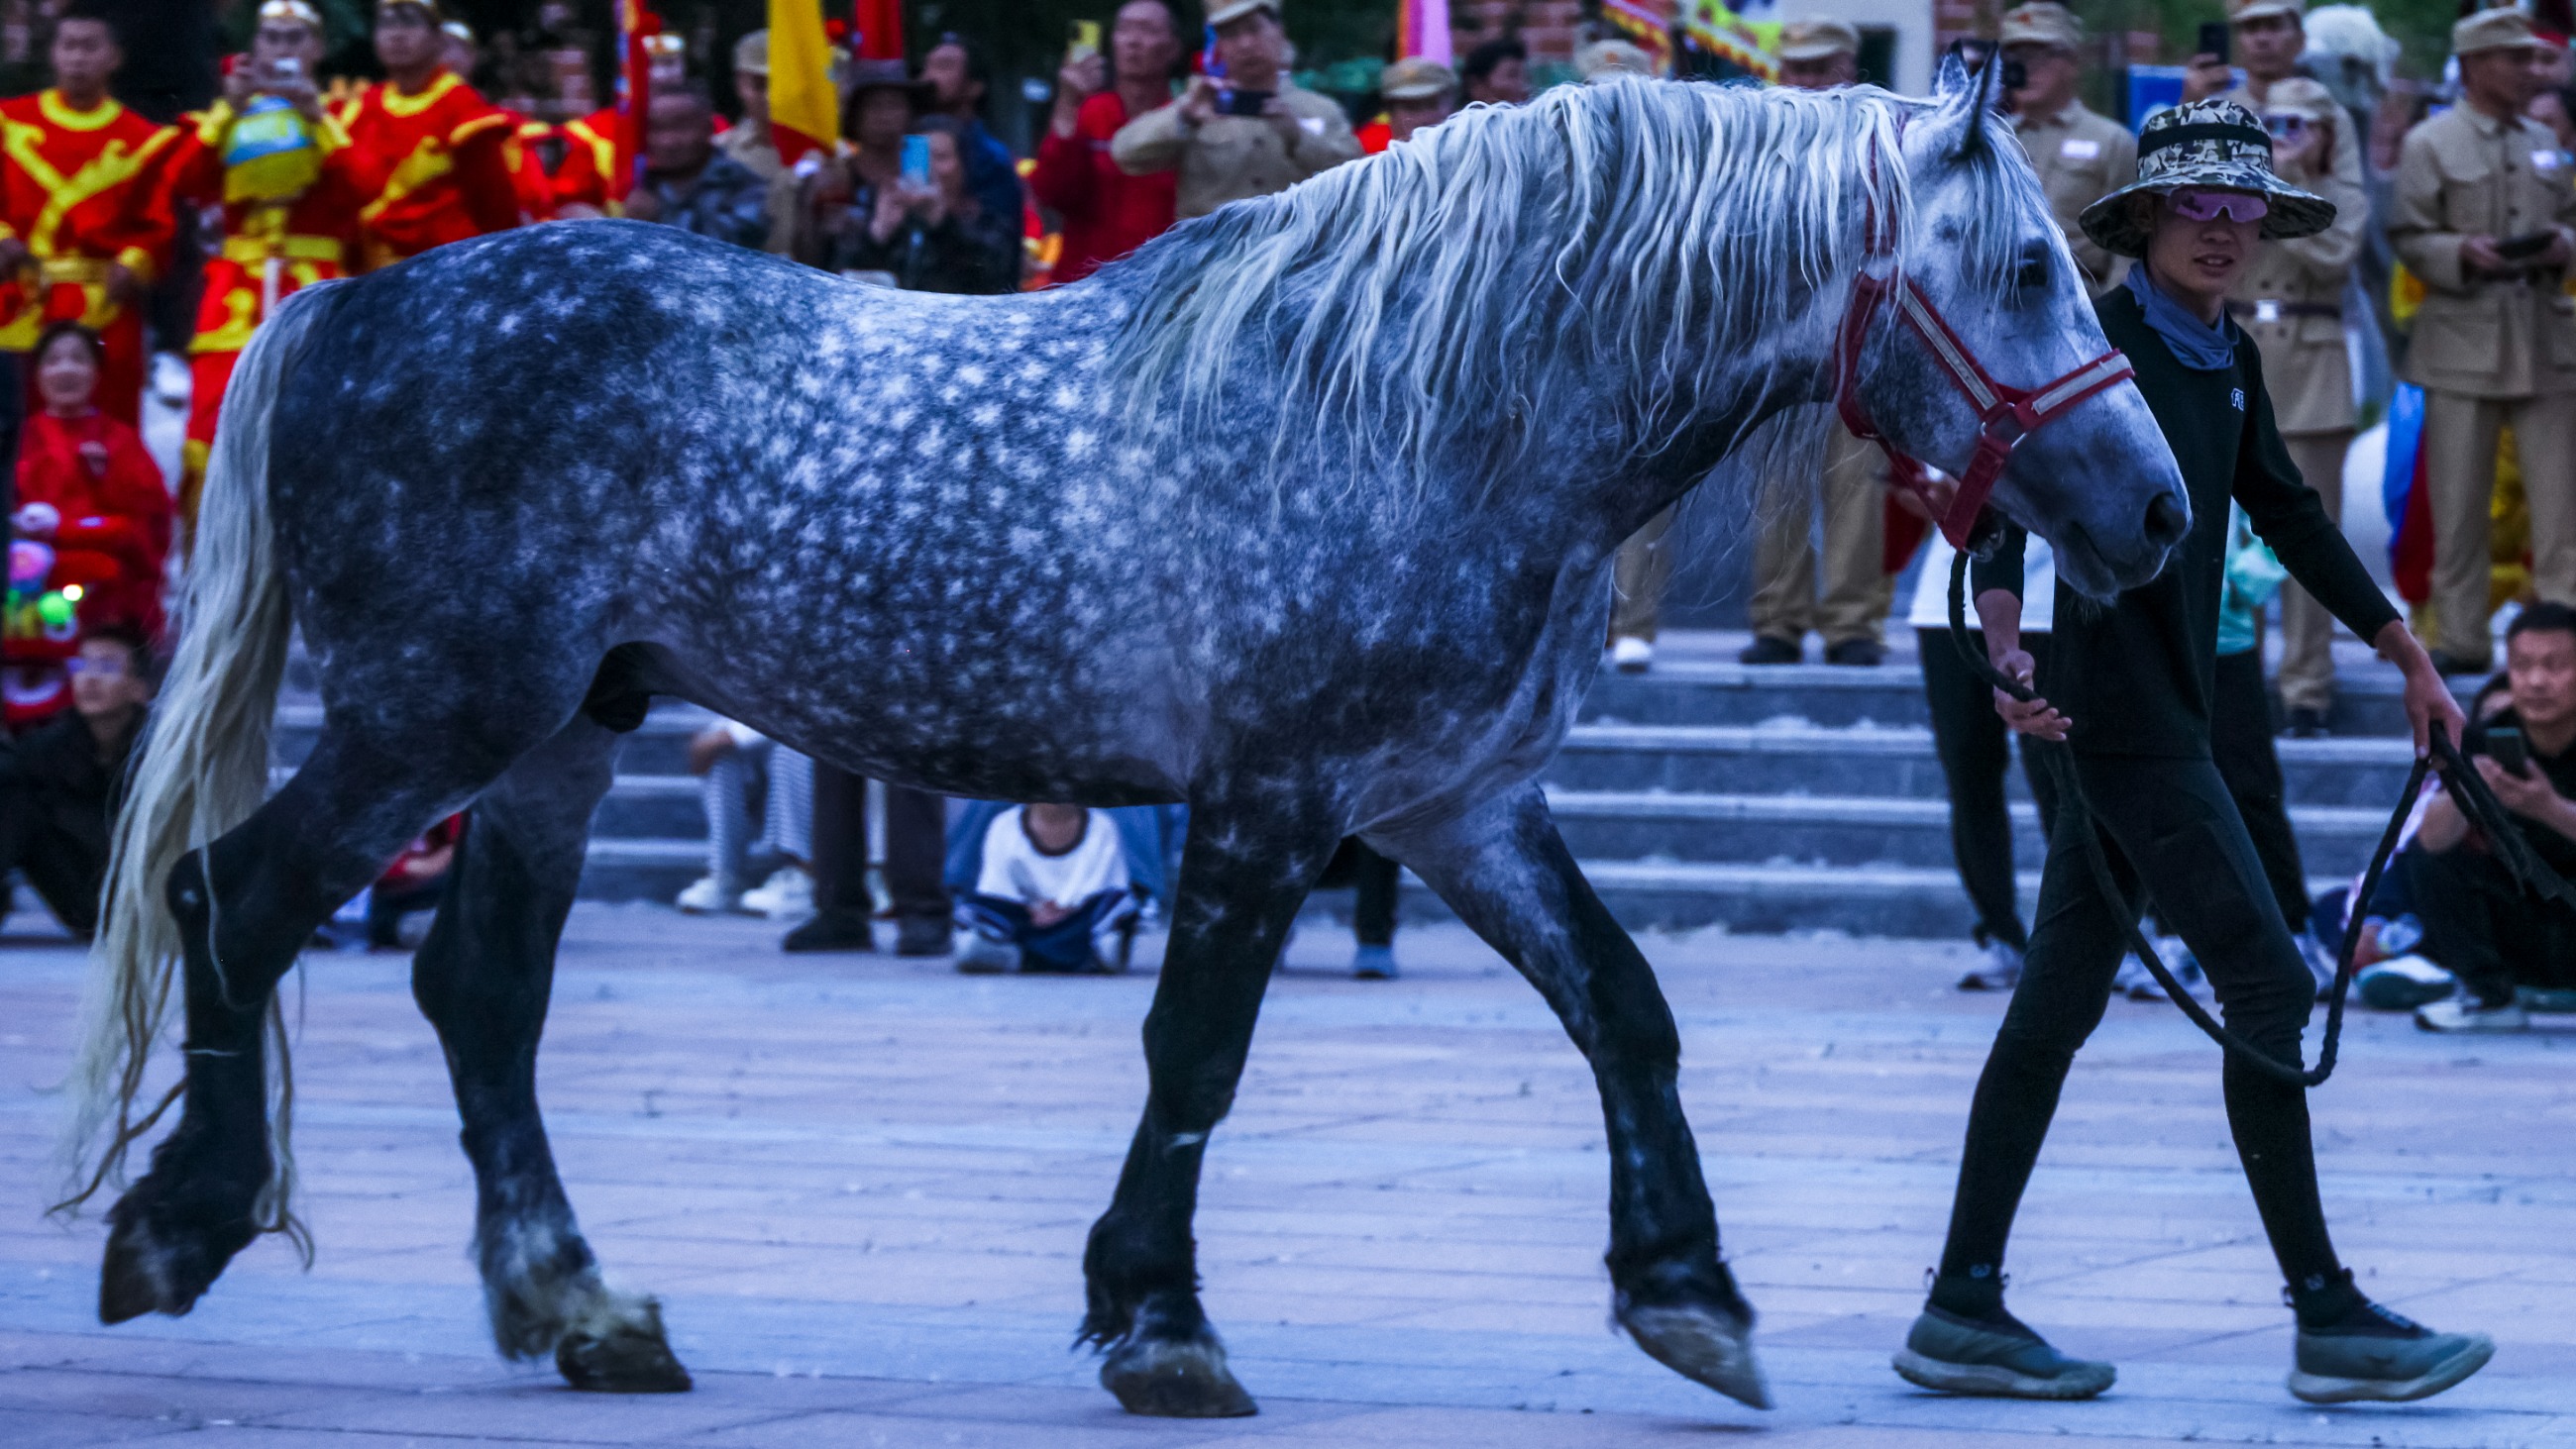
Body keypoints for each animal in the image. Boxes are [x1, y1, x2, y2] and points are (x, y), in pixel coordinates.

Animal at [61, 58, 2188, 1418]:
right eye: (2024, 268)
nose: (2165, 511)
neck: (1433, 407)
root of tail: (337, 309)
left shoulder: (1458, 807)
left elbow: (1625, 1007)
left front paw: (1688, 1295)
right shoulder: (1272, 802)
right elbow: (1199, 1050)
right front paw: (1161, 1319)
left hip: (558, 736)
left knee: (478, 989)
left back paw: (578, 1305)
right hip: (435, 711)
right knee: (232, 898)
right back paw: (181, 1223)